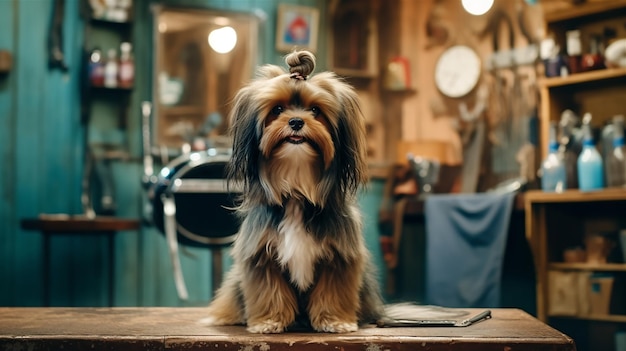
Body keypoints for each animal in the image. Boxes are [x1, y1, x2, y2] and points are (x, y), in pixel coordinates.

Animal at [201, 50, 390, 336]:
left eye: (315, 110)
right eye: (277, 109)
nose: (296, 121)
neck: (297, 190)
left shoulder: (338, 257)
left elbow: (333, 292)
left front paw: (335, 321)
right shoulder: (261, 255)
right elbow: (270, 291)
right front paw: (269, 321)